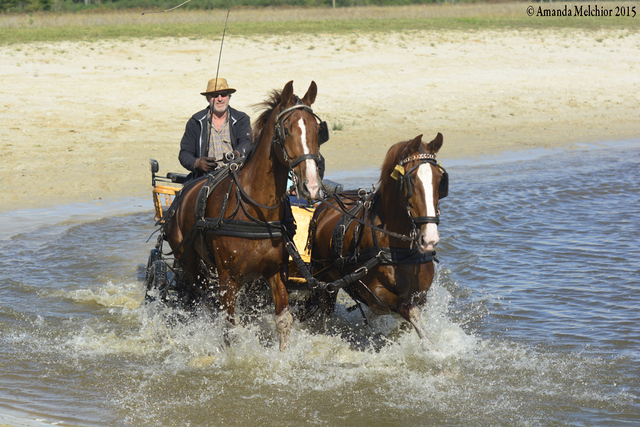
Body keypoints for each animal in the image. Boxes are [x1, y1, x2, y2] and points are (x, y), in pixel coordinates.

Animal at [165, 80, 324, 352]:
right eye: (287, 130)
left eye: (316, 129)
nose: (311, 187)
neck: (257, 211)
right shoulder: (228, 279)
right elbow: (229, 327)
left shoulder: (276, 271)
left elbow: (283, 320)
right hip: (188, 262)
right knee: (203, 300)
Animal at [306, 133, 448, 342]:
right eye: (411, 180)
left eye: (440, 180)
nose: (429, 238)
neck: (398, 249)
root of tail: (326, 204)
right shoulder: (375, 293)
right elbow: (409, 310)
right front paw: (430, 345)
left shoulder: (420, 295)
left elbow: (409, 319)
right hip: (322, 280)